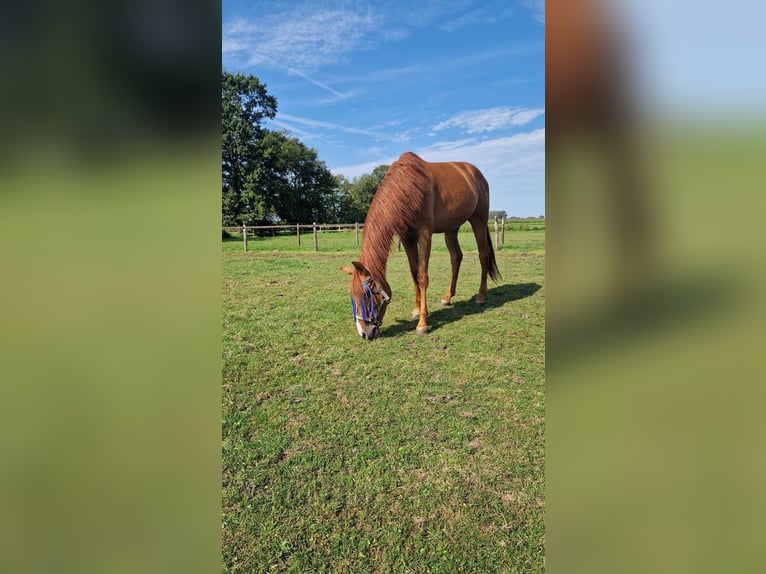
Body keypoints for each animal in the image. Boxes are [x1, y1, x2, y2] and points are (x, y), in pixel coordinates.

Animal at [340, 153, 498, 342]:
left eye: (367, 294)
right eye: (352, 296)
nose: (364, 333)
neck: (407, 186)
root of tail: (477, 174)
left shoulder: (424, 235)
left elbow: (422, 277)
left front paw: (422, 324)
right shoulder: (407, 237)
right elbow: (414, 273)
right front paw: (417, 310)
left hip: (478, 221)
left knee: (483, 256)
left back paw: (481, 296)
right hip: (451, 228)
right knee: (456, 257)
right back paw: (447, 297)